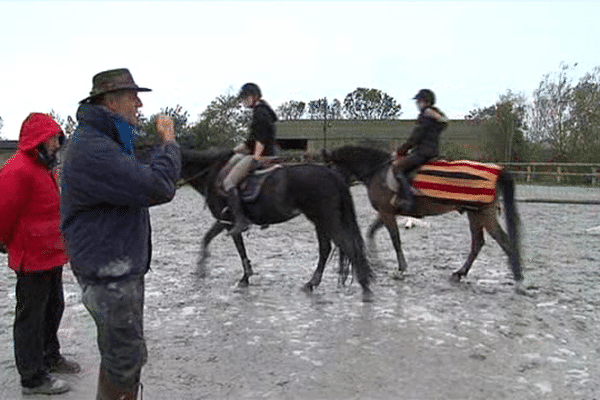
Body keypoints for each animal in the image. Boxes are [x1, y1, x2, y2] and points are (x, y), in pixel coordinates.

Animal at [180, 148, 372, 298]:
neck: (212, 173)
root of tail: (332, 174)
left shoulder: (229, 222)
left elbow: (239, 248)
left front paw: (243, 277)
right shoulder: (224, 221)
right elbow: (207, 239)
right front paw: (202, 270)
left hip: (325, 218)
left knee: (346, 246)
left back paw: (364, 286)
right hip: (321, 220)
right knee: (326, 249)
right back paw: (312, 283)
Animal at [318, 145, 524, 292]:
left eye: (331, 169)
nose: (331, 189)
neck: (378, 171)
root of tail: (497, 170)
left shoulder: (386, 213)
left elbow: (395, 239)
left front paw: (401, 269)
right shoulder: (386, 213)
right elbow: (372, 232)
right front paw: (376, 260)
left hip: (483, 214)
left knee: (504, 242)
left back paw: (519, 280)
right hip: (474, 214)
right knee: (478, 244)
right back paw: (460, 273)